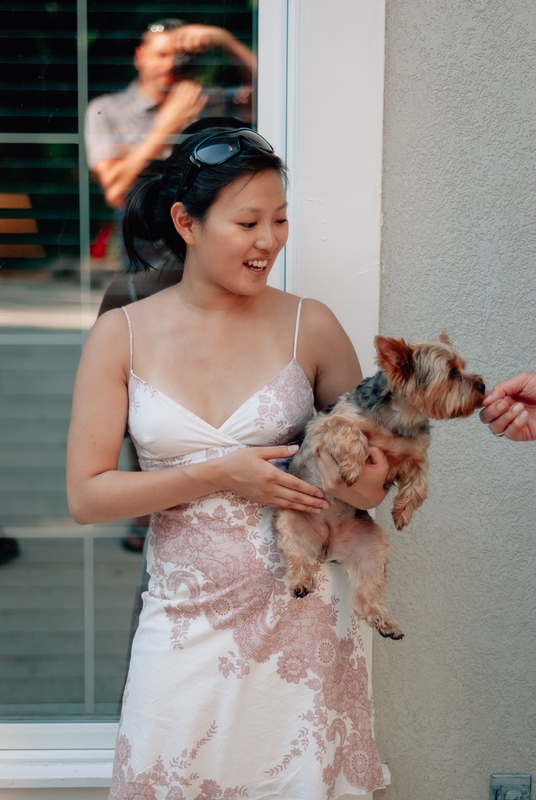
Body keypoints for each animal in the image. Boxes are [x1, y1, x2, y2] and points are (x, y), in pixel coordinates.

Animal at [274, 334, 484, 640]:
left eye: (464, 368)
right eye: (452, 373)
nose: (482, 385)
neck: (402, 418)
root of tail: (327, 545)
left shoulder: (414, 455)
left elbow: (421, 482)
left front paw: (403, 512)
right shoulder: (326, 424)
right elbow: (351, 431)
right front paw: (352, 468)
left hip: (371, 549)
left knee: (367, 595)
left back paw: (385, 622)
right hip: (291, 520)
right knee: (297, 554)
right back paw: (301, 582)